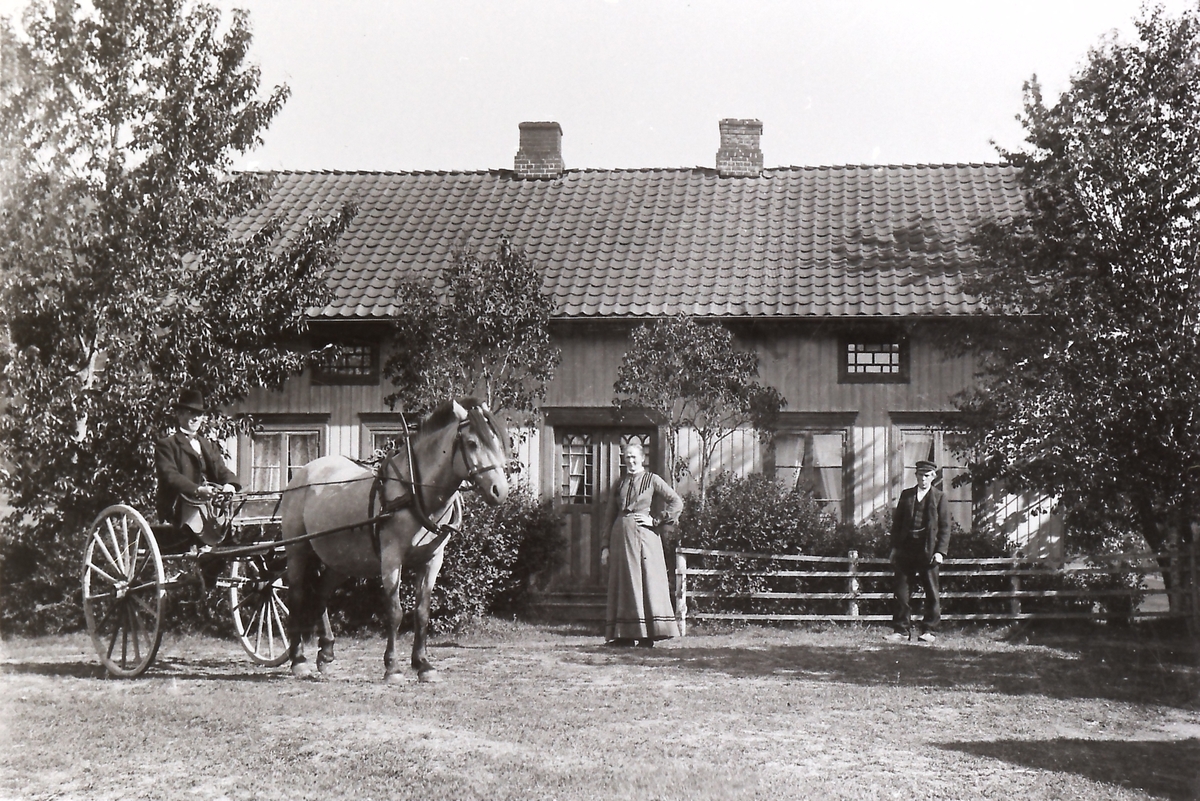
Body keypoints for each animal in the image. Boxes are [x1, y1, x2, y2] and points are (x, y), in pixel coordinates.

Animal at [278, 398, 508, 681]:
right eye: (473, 443)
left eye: (497, 442)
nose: (500, 491)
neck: (415, 491)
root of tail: (302, 474)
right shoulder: (391, 558)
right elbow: (395, 611)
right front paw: (393, 667)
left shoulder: (433, 560)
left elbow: (422, 612)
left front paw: (423, 665)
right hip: (297, 550)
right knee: (297, 596)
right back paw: (298, 659)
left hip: (341, 558)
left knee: (321, 593)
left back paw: (326, 652)